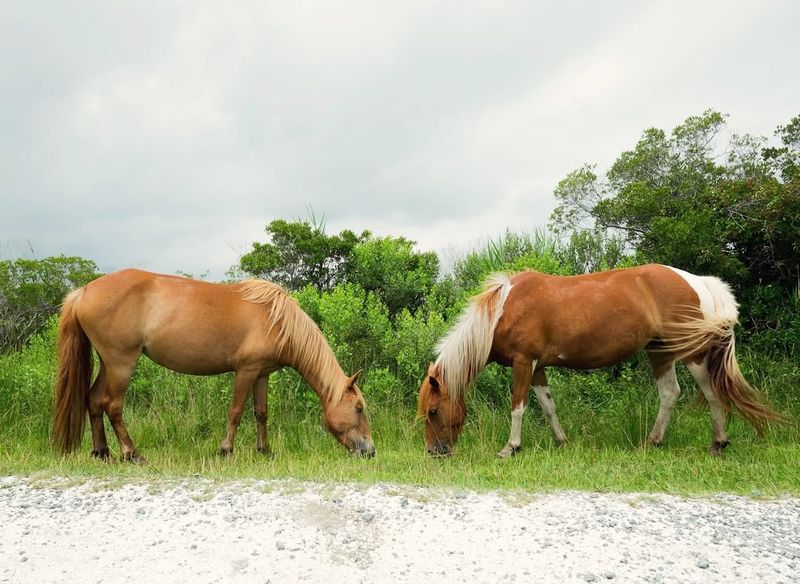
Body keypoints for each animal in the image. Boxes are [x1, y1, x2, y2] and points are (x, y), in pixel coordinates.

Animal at [53, 270, 376, 460]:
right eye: (359, 408)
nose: (370, 451)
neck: (277, 319)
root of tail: (83, 291)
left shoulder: (262, 374)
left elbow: (261, 413)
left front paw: (264, 450)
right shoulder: (246, 371)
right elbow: (236, 411)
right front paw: (225, 449)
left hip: (107, 363)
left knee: (94, 401)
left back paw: (101, 452)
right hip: (121, 363)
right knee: (113, 406)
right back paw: (132, 453)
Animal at [422, 264, 784, 456]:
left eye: (433, 411)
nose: (434, 452)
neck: (503, 310)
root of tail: (696, 281)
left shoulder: (524, 362)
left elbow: (518, 407)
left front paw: (510, 448)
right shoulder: (538, 368)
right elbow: (548, 405)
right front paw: (562, 441)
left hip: (691, 352)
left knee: (710, 392)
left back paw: (718, 443)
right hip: (660, 351)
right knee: (670, 394)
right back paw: (652, 441)